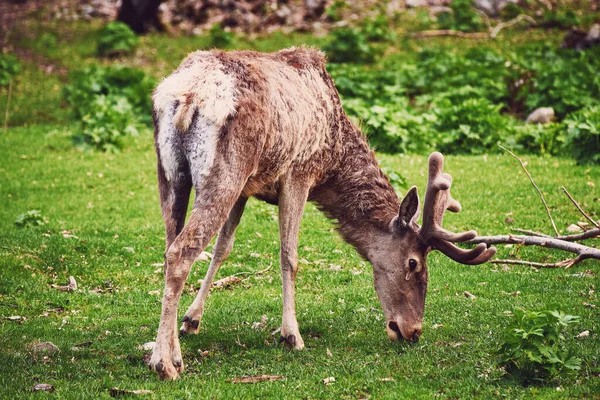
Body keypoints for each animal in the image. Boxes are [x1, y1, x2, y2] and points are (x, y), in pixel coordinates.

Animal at [148, 46, 494, 378]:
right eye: (413, 263)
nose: (413, 331)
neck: (333, 158)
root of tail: (190, 94)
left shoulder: (248, 187)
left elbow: (223, 248)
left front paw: (192, 320)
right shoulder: (299, 172)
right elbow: (289, 255)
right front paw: (291, 335)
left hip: (172, 172)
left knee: (170, 245)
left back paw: (172, 353)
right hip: (226, 171)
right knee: (181, 251)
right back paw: (163, 363)